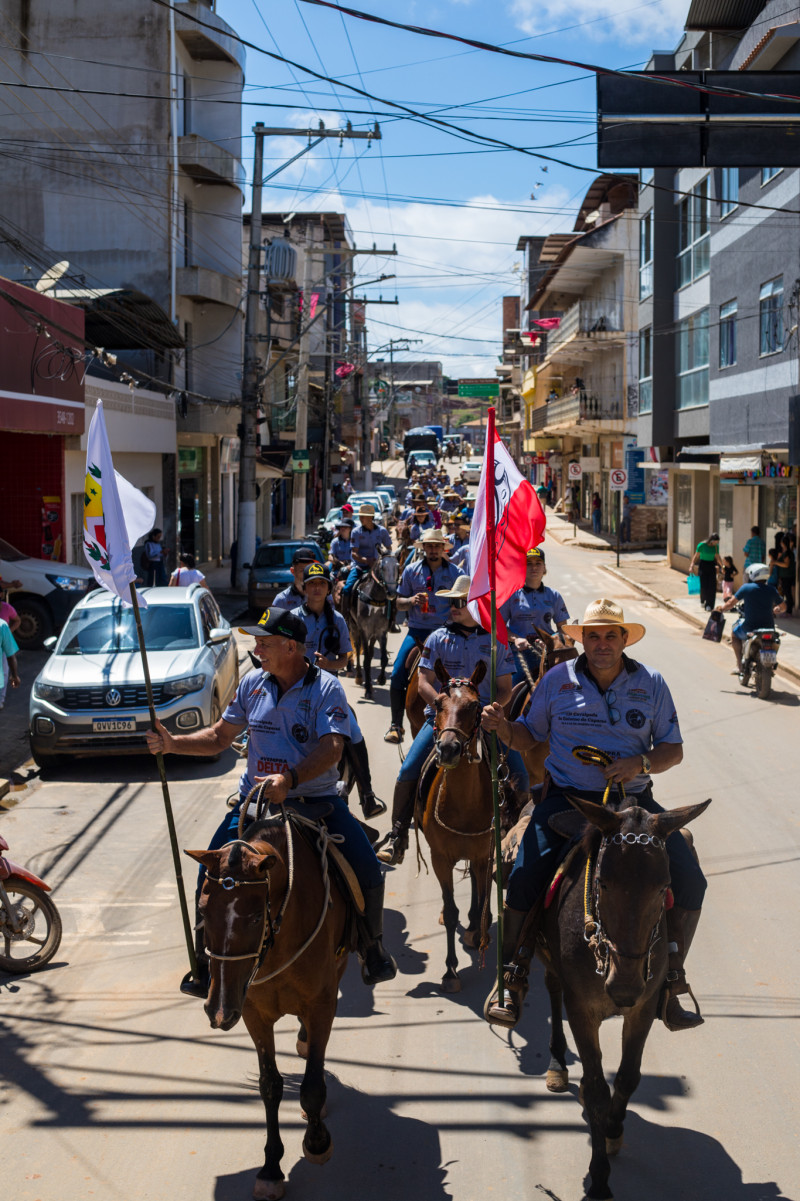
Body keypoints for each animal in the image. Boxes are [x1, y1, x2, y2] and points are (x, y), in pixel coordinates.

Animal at [188, 811, 350, 1196]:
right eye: (202, 910)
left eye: (253, 917)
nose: (218, 1011)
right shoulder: (252, 1013)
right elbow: (270, 1086)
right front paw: (271, 1168)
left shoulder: (322, 1004)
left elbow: (311, 1085)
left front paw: (317, 1142)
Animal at [533, 797, 706, 1201]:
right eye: (603, 883)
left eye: (664, 888)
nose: (624, 987)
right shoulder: (582, 1011)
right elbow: (596, 1088)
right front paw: (599, 1180)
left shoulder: (643, 1007)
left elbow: (628, 1077)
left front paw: (612, 1129)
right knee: (552, 988)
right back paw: (557, 1063)